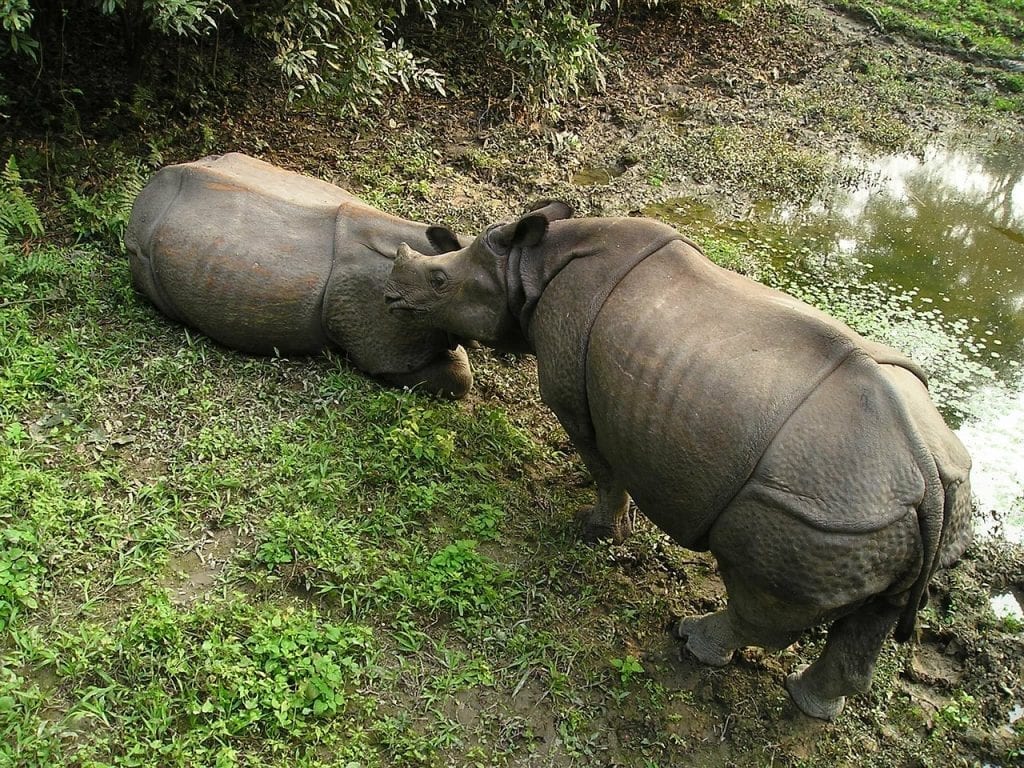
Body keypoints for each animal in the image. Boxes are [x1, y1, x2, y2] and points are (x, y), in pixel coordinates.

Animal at [383, 201, 975, 720]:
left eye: (439, 281)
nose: (390, 295)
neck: (527, 267)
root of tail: (925, 475)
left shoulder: (574, 398)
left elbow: (604, 470)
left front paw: (595, 532)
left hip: (821, 509)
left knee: (763, 604)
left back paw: (690, 640)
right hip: (901, 507)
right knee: (875, 615)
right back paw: (811, 706)